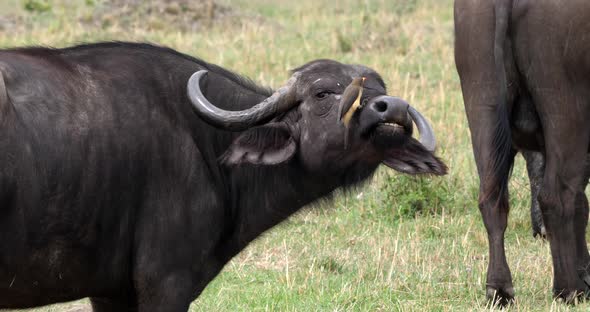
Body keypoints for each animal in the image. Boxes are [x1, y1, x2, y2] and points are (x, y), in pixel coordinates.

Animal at [0, 42, 444, 312]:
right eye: (322, 93)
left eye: (381, 88)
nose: (392, 108)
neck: (207, 146)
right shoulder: (166, 282)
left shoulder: (110, 291)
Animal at [458, 0, 590, 306]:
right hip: (569, 116)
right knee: (557, 197)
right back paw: (569, 289)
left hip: (482, 104)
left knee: (492, 200)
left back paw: (499, 289)